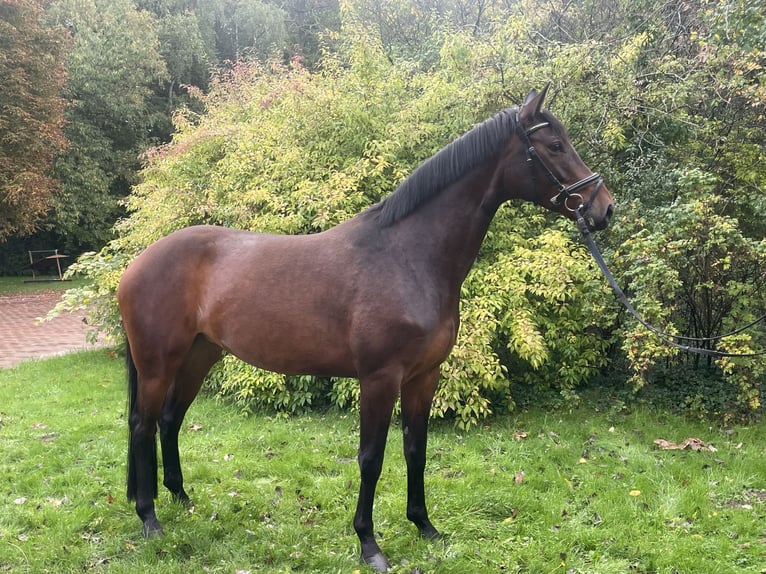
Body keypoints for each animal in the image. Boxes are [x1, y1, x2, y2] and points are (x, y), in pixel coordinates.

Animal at [118, 87, 614, 572]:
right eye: (555, 146)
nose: (604, 208)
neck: (407, 257)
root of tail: (137, 264)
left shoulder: (424, 377)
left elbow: (416, 448)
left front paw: (425, 525)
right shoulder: (379, 379)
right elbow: (371, 458)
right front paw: (369, 544)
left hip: (199, 354)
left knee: (169, 420)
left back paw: (182, 498)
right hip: (158, 364)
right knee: (143, 425)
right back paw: (149, 518)